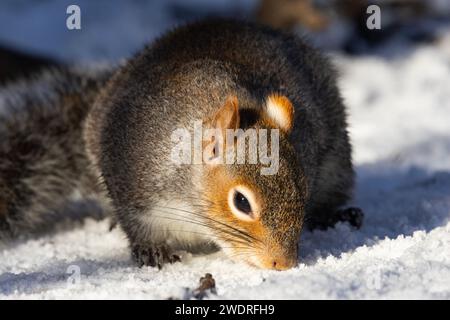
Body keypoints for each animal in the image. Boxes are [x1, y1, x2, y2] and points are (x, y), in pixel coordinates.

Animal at [0, 18, 362, 270]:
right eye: (241, 202)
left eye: (303, 190)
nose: (283, 263)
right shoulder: (133, 182)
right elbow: (137, 225)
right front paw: (152, 252)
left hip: (336, 162)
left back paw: (334, 216)